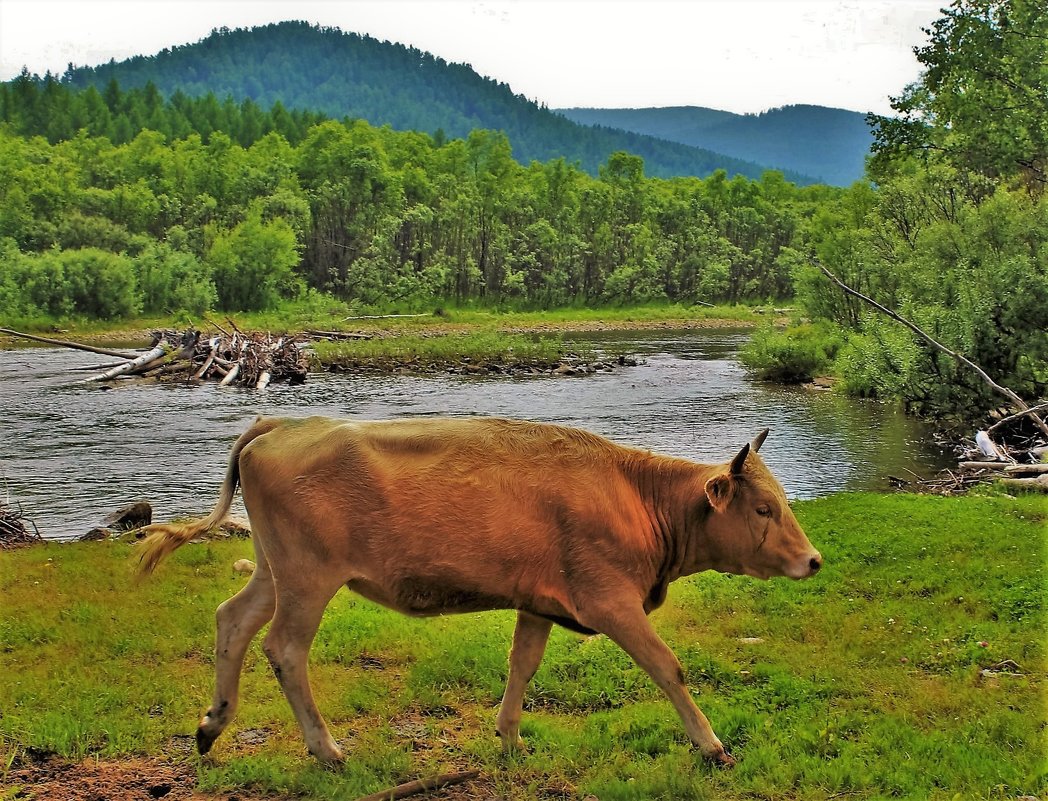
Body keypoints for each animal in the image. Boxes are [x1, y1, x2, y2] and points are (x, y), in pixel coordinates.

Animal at [139, 415, 821, 767]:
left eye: (782, 500)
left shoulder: (541, 602)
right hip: (307, 580)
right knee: (283, 649)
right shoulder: (610, 601)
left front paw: (511, 737)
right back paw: (326, 749)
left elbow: (523, 665)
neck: (634, 493)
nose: (813, 560)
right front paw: (711, 744)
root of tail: (282, 425)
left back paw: (211, 726)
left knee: (232, 620)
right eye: (763, 508)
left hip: (272, 570)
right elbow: (667, 666)